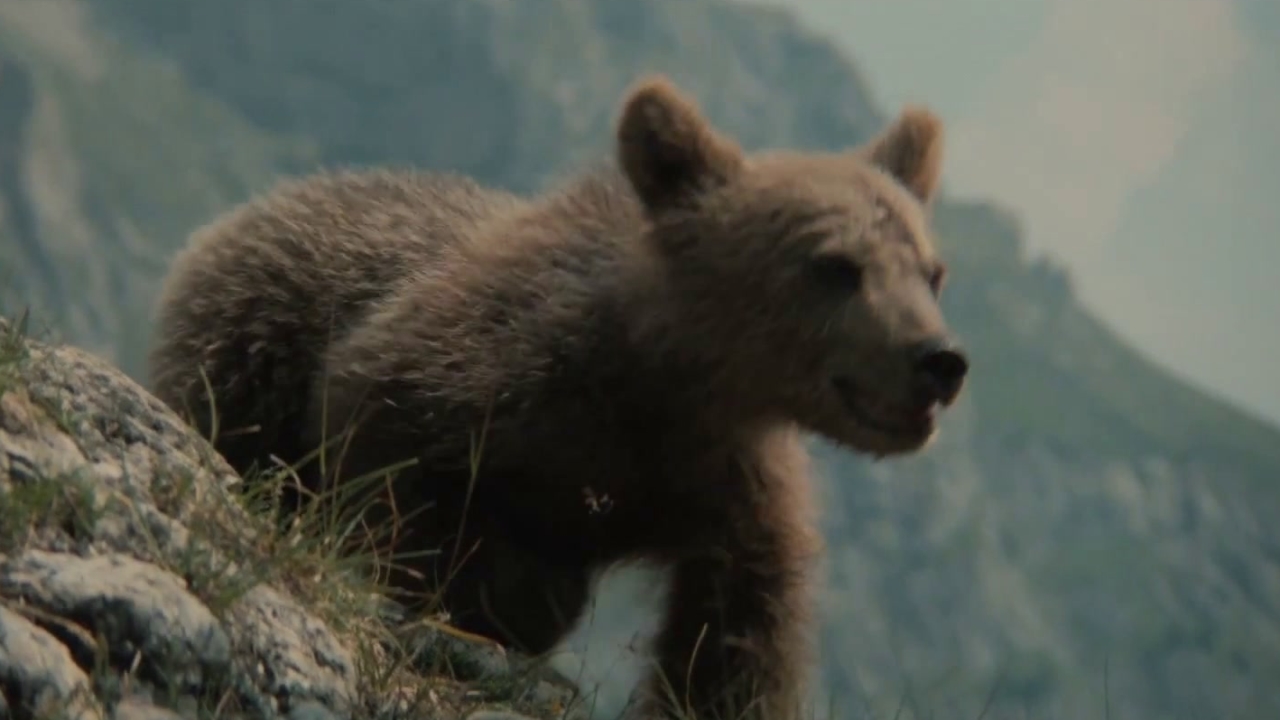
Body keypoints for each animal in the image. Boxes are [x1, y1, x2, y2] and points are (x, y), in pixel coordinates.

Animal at [147, 74, 968, 720]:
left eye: (931, 271)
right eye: (835, 265)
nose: (939, 359)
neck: (664, 374)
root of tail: (254, 207)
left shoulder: (724, 479)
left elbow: (739, 631)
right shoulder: (483, 367)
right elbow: (386, 454)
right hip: (250, 341)